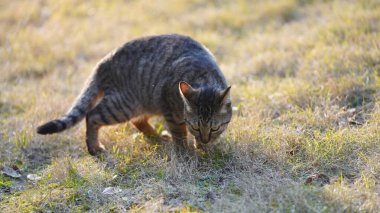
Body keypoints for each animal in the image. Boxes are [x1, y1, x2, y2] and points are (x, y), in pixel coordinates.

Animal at [37, 34, 232, 156]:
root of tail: (103, 62)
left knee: (138, 121)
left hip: (145, 103)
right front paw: (186, 153)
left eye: (214, 128)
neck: (202, 76)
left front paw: (203, 148)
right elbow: (180, 136)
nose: (205, 139)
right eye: (197, 127)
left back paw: (158, 137)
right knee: (92, 115)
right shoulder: (169, 109)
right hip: (123, 106)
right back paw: (94, 147)